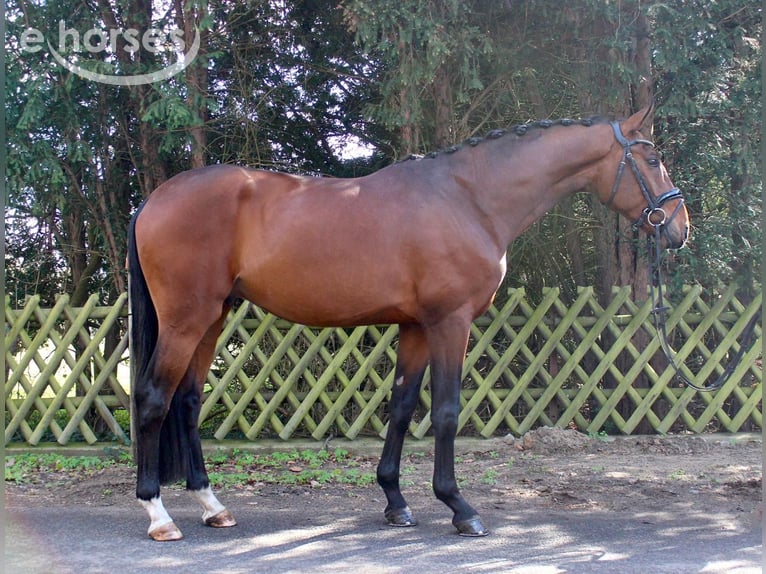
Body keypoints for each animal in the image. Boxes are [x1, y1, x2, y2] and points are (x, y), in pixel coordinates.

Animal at [127, 105, 689, 541]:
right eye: (653, 159)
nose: (680, 228)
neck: (469, 198)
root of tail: (154, 198)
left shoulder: (416, 327)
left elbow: (400, 407)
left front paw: (396, 502)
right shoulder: (450, 322)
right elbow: (445, 412)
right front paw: (460, 508)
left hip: (212, 317)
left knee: (188, 400)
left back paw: (212, 507)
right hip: (185, 318)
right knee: (153, 397)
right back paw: (158, 514)